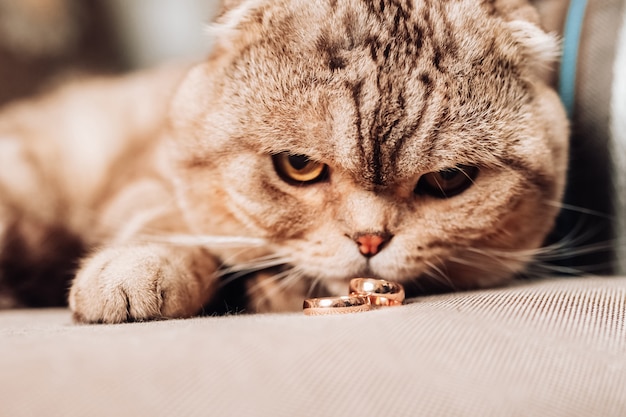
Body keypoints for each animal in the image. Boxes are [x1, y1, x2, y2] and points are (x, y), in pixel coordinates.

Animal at [0, 0, 564, 322]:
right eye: (298, 164)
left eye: (448, 179)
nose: (369, 241)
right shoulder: (144, 180)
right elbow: (165, 220)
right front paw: (135, 268)